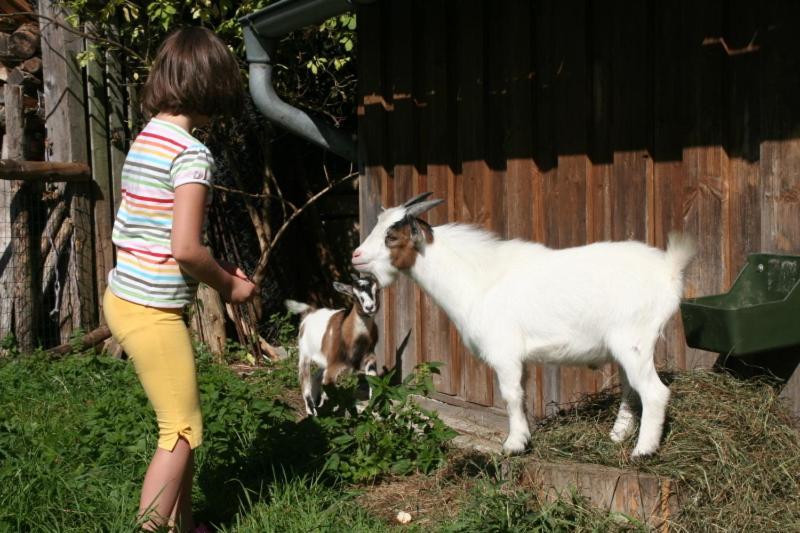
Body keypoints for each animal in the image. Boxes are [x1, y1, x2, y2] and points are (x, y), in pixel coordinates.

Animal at [350, 193, 692, 456]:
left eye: (391, 237)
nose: (356, 255)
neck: (476, 281)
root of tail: (668, 271)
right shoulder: (520, 359)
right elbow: (523, 395)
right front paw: (525, 439)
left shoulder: (504, 353)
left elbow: (511, 396)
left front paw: (513, 445)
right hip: (625, 348)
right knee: (631, 390)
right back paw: (617, 437)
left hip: (633, 341)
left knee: (654, 392)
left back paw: (642, 451)